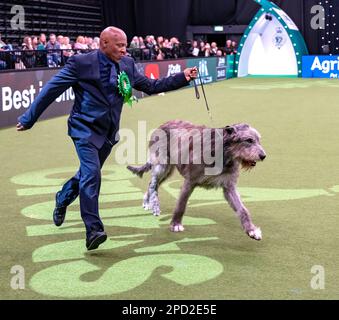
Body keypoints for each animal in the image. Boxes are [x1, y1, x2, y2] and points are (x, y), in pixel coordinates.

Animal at [128, 120, 268, 240]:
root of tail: (162, 124)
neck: (222, 153)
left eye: (258, 140)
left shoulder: (229, 186)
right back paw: (153, 204)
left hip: (168, 171)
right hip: (162, 165)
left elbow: (242, 209)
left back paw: (148, 202)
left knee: (153, 183)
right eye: (249, 140)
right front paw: (175, 224)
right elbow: (181, 204)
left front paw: (252, 230)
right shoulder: (190, 181)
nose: (263, 156)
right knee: (153, 182)